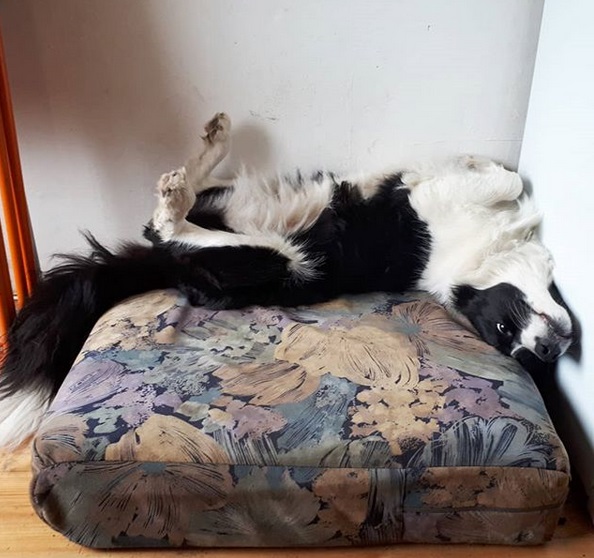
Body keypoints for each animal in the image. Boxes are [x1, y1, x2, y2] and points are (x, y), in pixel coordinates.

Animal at [0, 111, 572, 448]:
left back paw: (182, 184)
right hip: (264, 243)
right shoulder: (435, 201)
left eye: (508, 344)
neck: (472, 259)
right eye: (505, 330)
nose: (543, 353)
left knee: (167, 226)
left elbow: (504, 181)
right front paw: (479, 161)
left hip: (275, 260)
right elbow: (506, 179)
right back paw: (205, 153)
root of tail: (164, 269)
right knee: (172, 220)